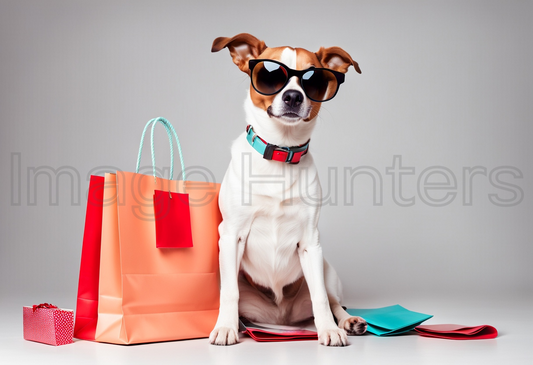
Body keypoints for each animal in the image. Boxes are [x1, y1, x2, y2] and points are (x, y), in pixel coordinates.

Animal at [208, 33, 366, 344]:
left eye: (314, 79)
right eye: (270, 74)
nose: (293, 96)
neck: (280, 152)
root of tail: (281, 318)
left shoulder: (310, 242)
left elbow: (320, 298)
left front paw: (328, 330)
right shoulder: (231, 235)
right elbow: (229, 293)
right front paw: (226, 327)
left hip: (326, 269)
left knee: (332, 302)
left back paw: (346, 322)